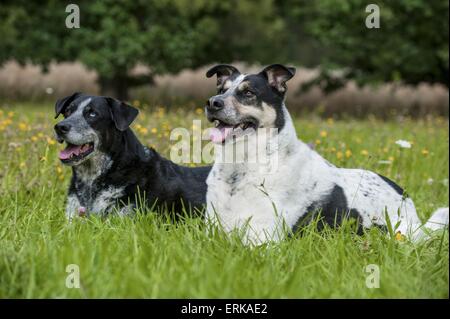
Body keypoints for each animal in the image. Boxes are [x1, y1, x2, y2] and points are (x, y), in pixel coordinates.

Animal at [205, 64, 450, 245]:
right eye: (221, 90)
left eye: (248, 93)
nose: (212, 102)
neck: (240, 168)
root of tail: (406, 198)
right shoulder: (213, 232)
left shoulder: (262, 240)